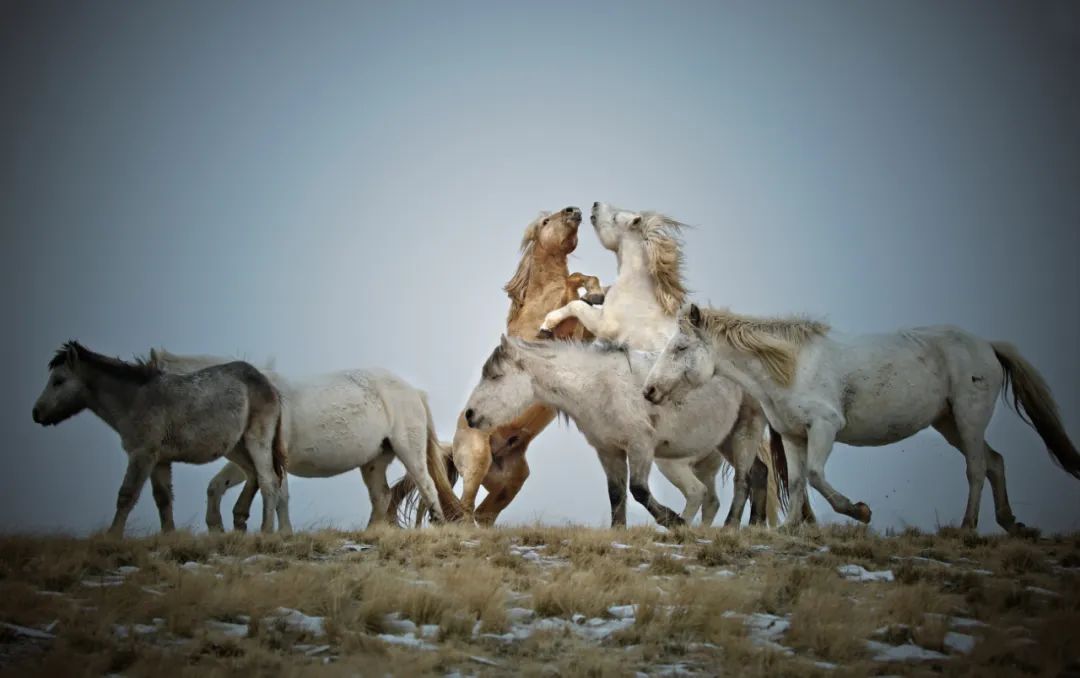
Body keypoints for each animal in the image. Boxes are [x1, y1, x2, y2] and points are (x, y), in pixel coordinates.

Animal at [31, 341, 289, 537]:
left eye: (59, 380)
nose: (36, 413)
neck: (135, 399)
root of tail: (268, 386)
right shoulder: (160, 460)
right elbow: (163, 498)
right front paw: (169, 535)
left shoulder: (142, 454)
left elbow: (127, 495)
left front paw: (112, 536)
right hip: (236, 447)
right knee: (254, 476)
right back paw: (240, 520)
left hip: (257, 442)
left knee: (268, 480)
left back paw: (266, 531)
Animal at [147, 349, 464, 529]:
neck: (251, 394)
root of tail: (414, 391)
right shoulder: (249, 459)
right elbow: (218, 486)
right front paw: (218, 527)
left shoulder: (273, 458)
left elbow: (280, 495)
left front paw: (282, 533)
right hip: (374, 461)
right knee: (382, 497)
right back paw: (371, 534)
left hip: (408, 450)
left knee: (426, 486)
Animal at [390, 206, 609, 524]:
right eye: (546, 221)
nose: (574, 210)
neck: (539, 300)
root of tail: (455, 445)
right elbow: (571, 288)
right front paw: (587, 295)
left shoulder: (581, 336)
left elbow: (581, 284)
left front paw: (596, 293)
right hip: (478, 460)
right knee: (465, 508)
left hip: (510, 481)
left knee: (482, 515)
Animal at [462, 339, 786, 529]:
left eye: (496, 376)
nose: (470, 415)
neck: (597, 385)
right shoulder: (609, 451)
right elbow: (616, 495)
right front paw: (619, 533)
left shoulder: (640, 446)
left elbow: (639, 490)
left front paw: (674, 522)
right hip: (725, 440)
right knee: (759, 472)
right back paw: (755, 527)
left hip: (744, 431)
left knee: (743, 480)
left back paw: (731, 527)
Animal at [639, 304, 1080, 533]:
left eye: (680, 348)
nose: (650, 390)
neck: (791, 367)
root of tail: (986, 345)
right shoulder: (794, 436)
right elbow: (797, 482)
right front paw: (792, 530)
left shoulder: (824, 427)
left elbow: (816, 476)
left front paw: (860, 511)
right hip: (950, 424)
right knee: (994, 462)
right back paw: (1010, 523)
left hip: (969, 418)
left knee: (975, 468)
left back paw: (968, 527)